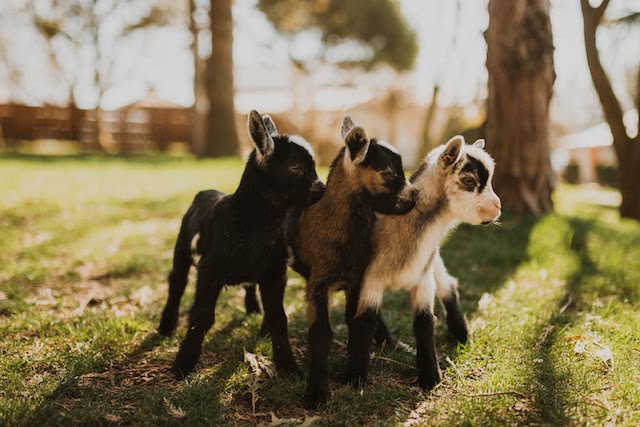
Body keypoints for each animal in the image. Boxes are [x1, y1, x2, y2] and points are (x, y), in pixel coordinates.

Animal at [156, 110, 324, 378]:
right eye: (296, 167)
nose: (323, 190)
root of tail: (207, 190)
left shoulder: (274, 272)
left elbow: (278, 318)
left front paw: (288, 366)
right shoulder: (209, 270)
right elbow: (202, 317)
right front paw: (183, 364)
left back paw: (253, 307)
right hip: (181, 248)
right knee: (177, 282)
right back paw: (166, 324)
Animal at [288, 116, 418, 408]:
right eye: (386, 172)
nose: (415, 196)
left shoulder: (358, 279)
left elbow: (359, 321)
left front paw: (355, 377)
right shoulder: (318, 284)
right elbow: (320, 333)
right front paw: (316, 395)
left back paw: (393, 344)